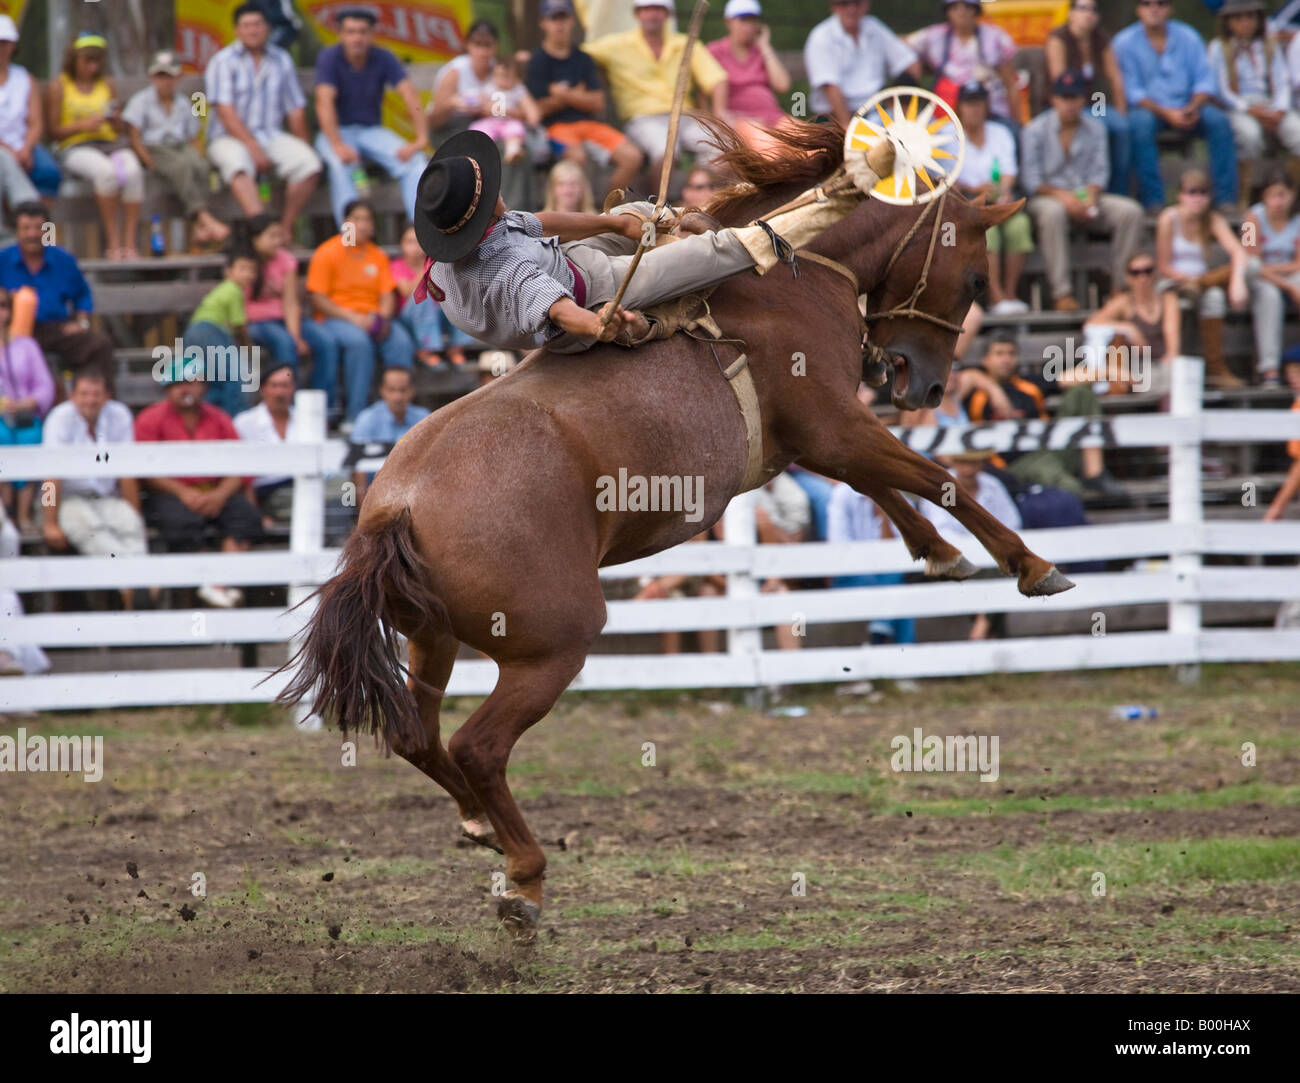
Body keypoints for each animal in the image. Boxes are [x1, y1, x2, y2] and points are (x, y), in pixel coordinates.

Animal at [277, 117, 1073, 934]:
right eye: (976, 278)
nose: (928, 384)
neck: (784, 284)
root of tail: (396, 508)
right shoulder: (833, 424)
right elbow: (933, 476)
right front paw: (1031, 565)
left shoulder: (812, 438)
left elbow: (886, 484)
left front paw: (940, 554)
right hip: (551, 644)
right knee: (478, 745)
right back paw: (524, 880)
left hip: (432, 634)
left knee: (418, 730)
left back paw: (477, 825)